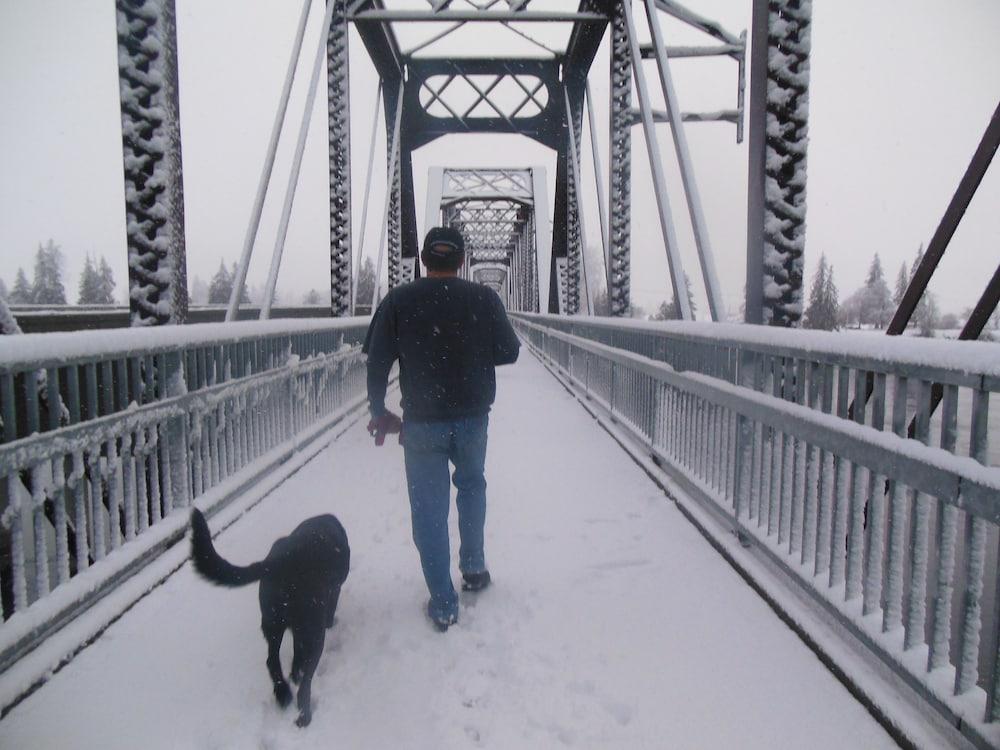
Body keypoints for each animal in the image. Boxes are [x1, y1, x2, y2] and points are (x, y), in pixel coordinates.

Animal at [189, 508, 350, 724]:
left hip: (272, 622)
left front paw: (294, 673)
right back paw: (303, 716)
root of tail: (276, 563)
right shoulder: (333, 594)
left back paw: (283, 694)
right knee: (305, 681)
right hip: (312, 630)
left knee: (272, 660)